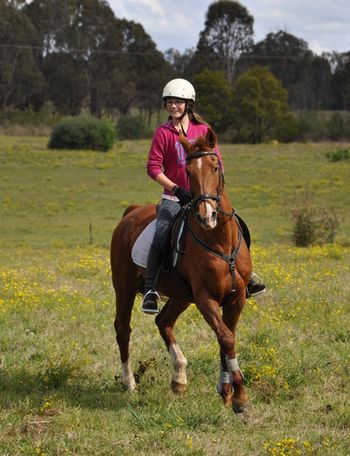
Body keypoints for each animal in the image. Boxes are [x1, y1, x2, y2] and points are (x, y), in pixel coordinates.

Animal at [111, 128, 252, 414]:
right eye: (188, 172)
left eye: (215, 165)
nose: (207, 215)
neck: (219, 240)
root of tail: (130, 213)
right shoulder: (206, 299)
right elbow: (226, 338)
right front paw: (240, 397)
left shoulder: (236, 298)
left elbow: (226, 338)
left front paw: (226, 391)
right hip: (124, 288)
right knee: (123, 329)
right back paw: (129, 383)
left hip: (180, 296)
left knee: (163, 322)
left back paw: (179, 378)